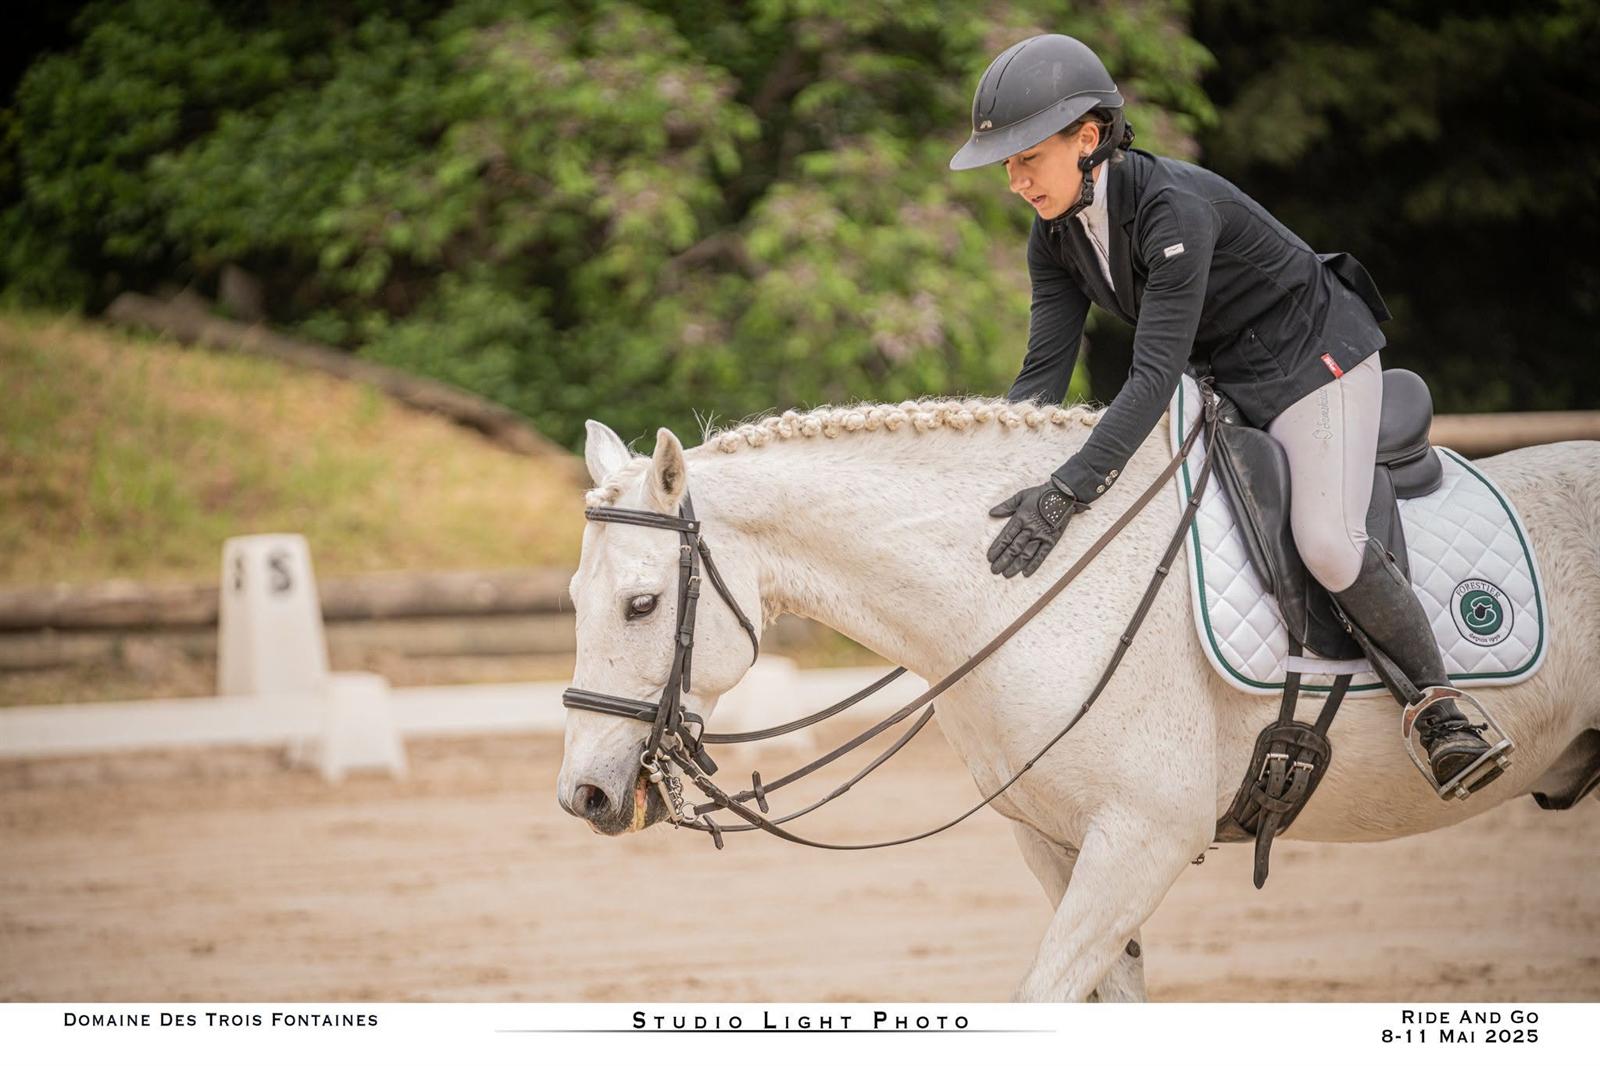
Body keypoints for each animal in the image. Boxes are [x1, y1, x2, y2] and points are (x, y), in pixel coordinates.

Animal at [557, 395, 1600, 1001]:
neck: (1015, 592)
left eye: (642, 604)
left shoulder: (1143, 840)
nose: (586, 797)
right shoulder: (1056, 842)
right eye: (573, 597)